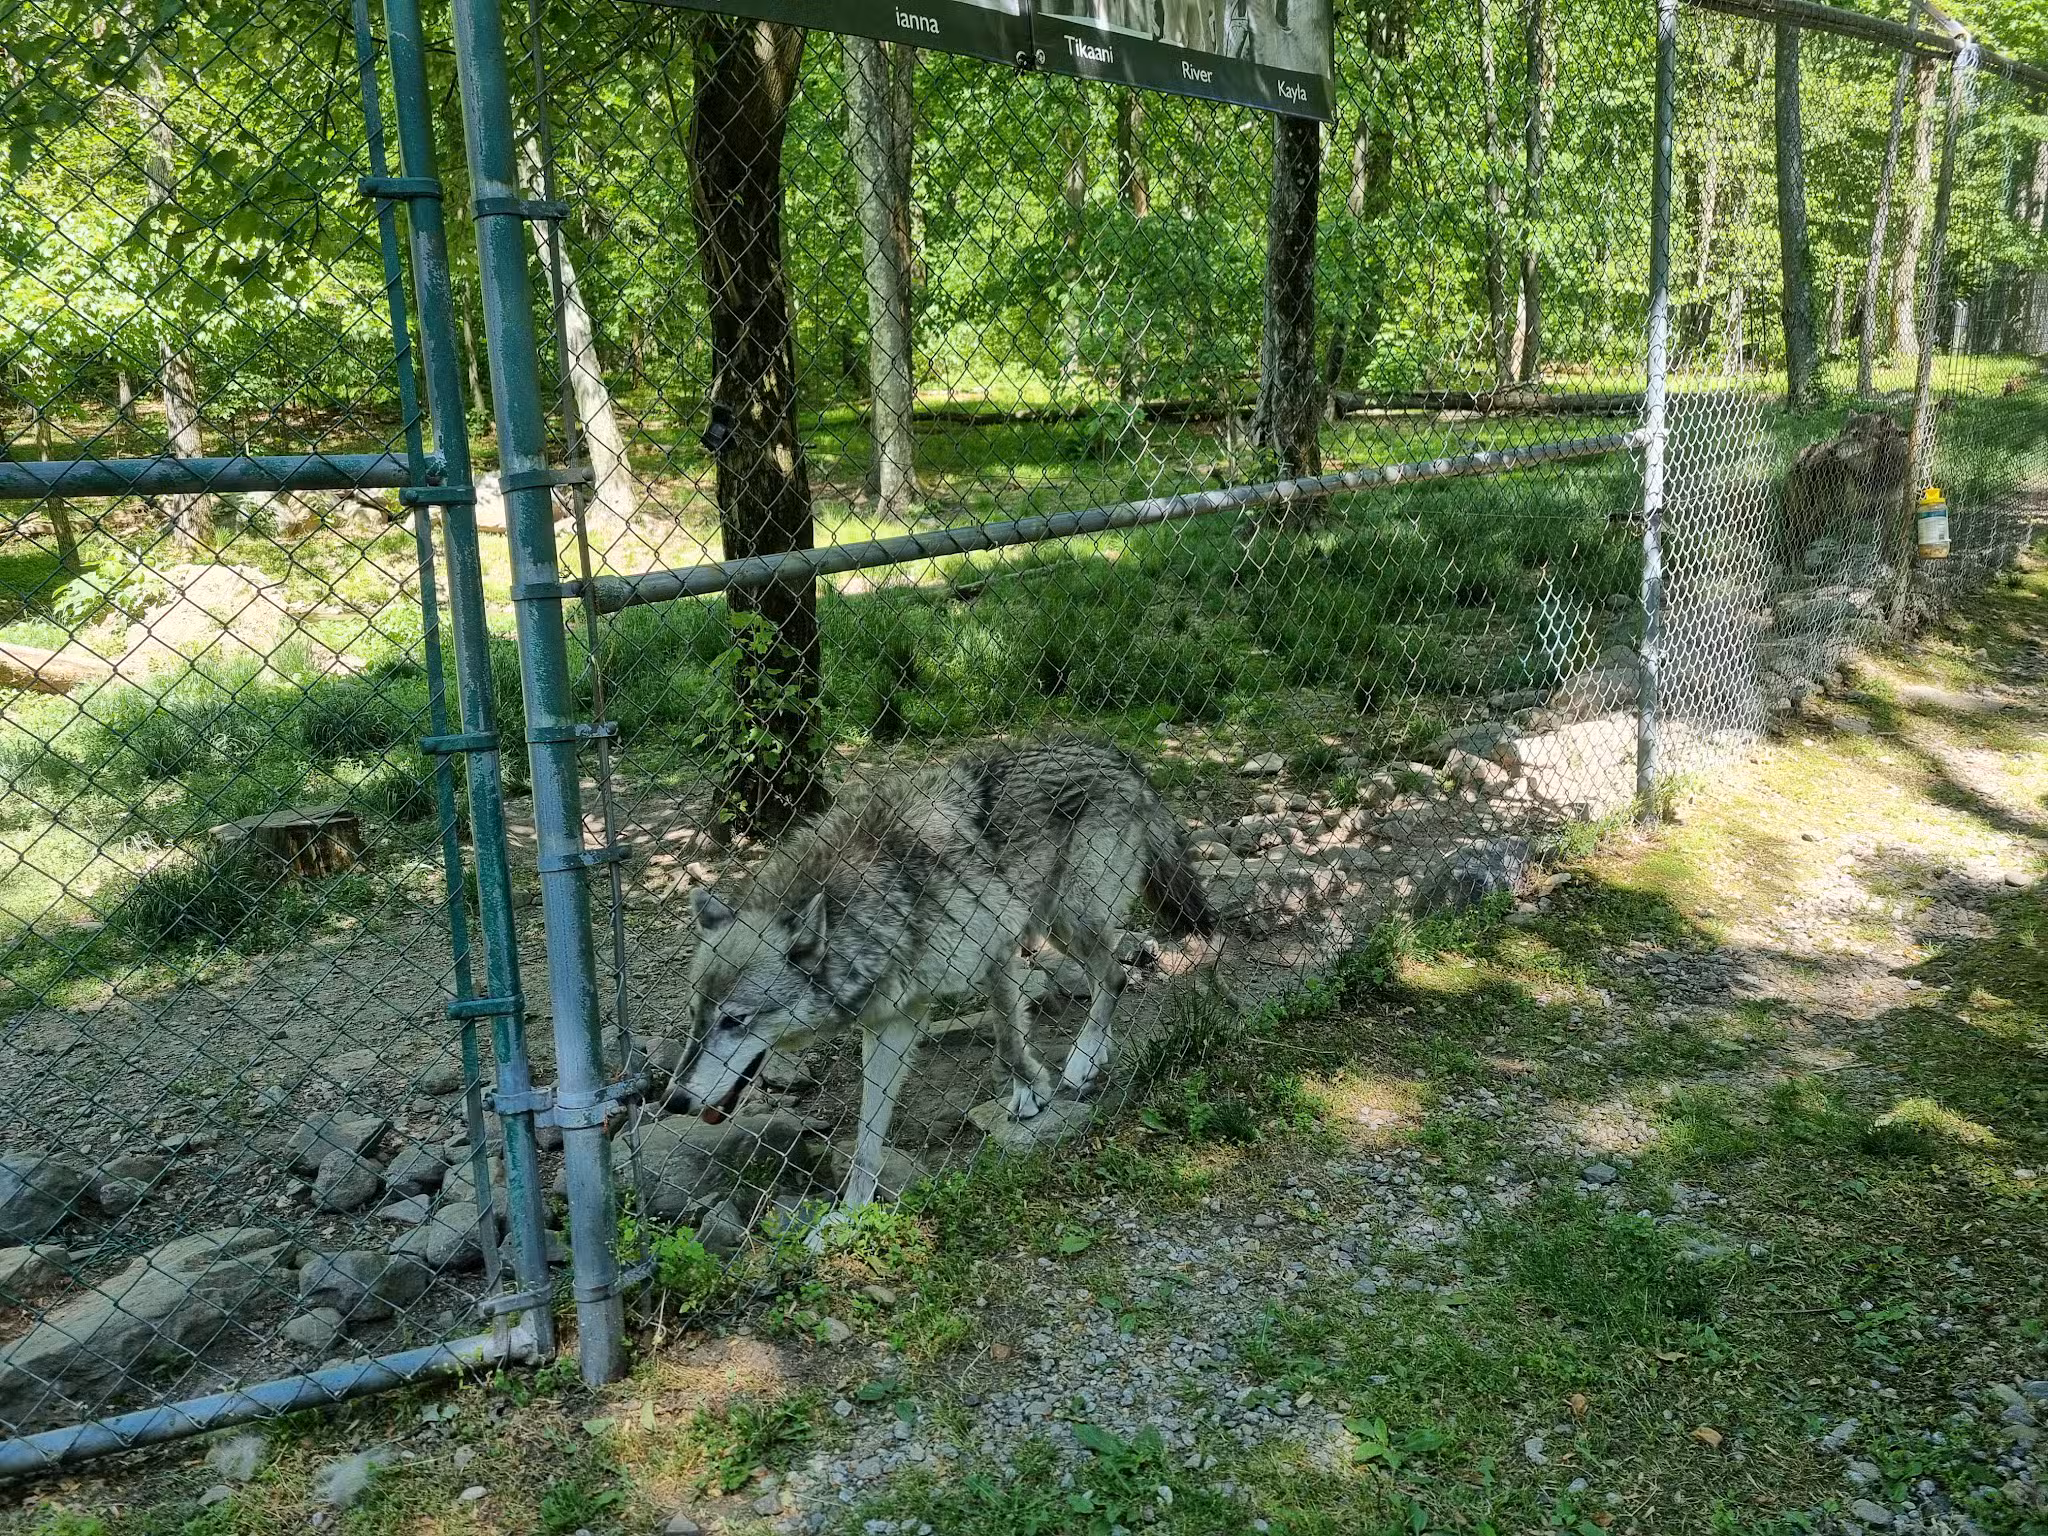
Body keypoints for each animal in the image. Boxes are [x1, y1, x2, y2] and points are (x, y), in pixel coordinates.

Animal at [669, 738, 1216, 1209]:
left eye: (735, 1021)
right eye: (696, 1016)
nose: (673, 1100)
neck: (877, 902)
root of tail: (1118, 754)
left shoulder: (996, 951)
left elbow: (1008, 1039)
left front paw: (1028, 1093)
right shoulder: (894, 1023)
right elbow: (867, 1137)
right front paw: (845, 1218)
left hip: (1072, 916)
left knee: (1115, 977)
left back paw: (1082, 1060)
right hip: (1060, 924)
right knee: (1111, 977)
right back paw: (1094, 1052)